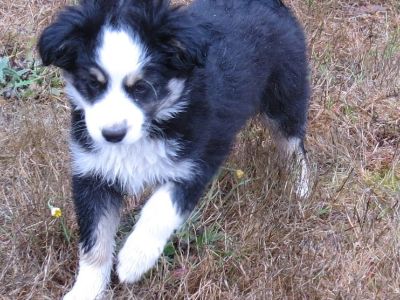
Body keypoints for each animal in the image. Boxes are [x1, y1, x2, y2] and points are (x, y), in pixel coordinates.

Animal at [38, 0, 310, 298]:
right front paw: (86, 290)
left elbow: (159, 209)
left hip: (284, 95)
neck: (155, 124)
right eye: (92, 84)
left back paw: (300, 187)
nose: (112, 135)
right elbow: (95, 241)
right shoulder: (93, 174)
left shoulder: (195, 164)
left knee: (294, 144)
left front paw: (134, 260)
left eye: (142, 87)